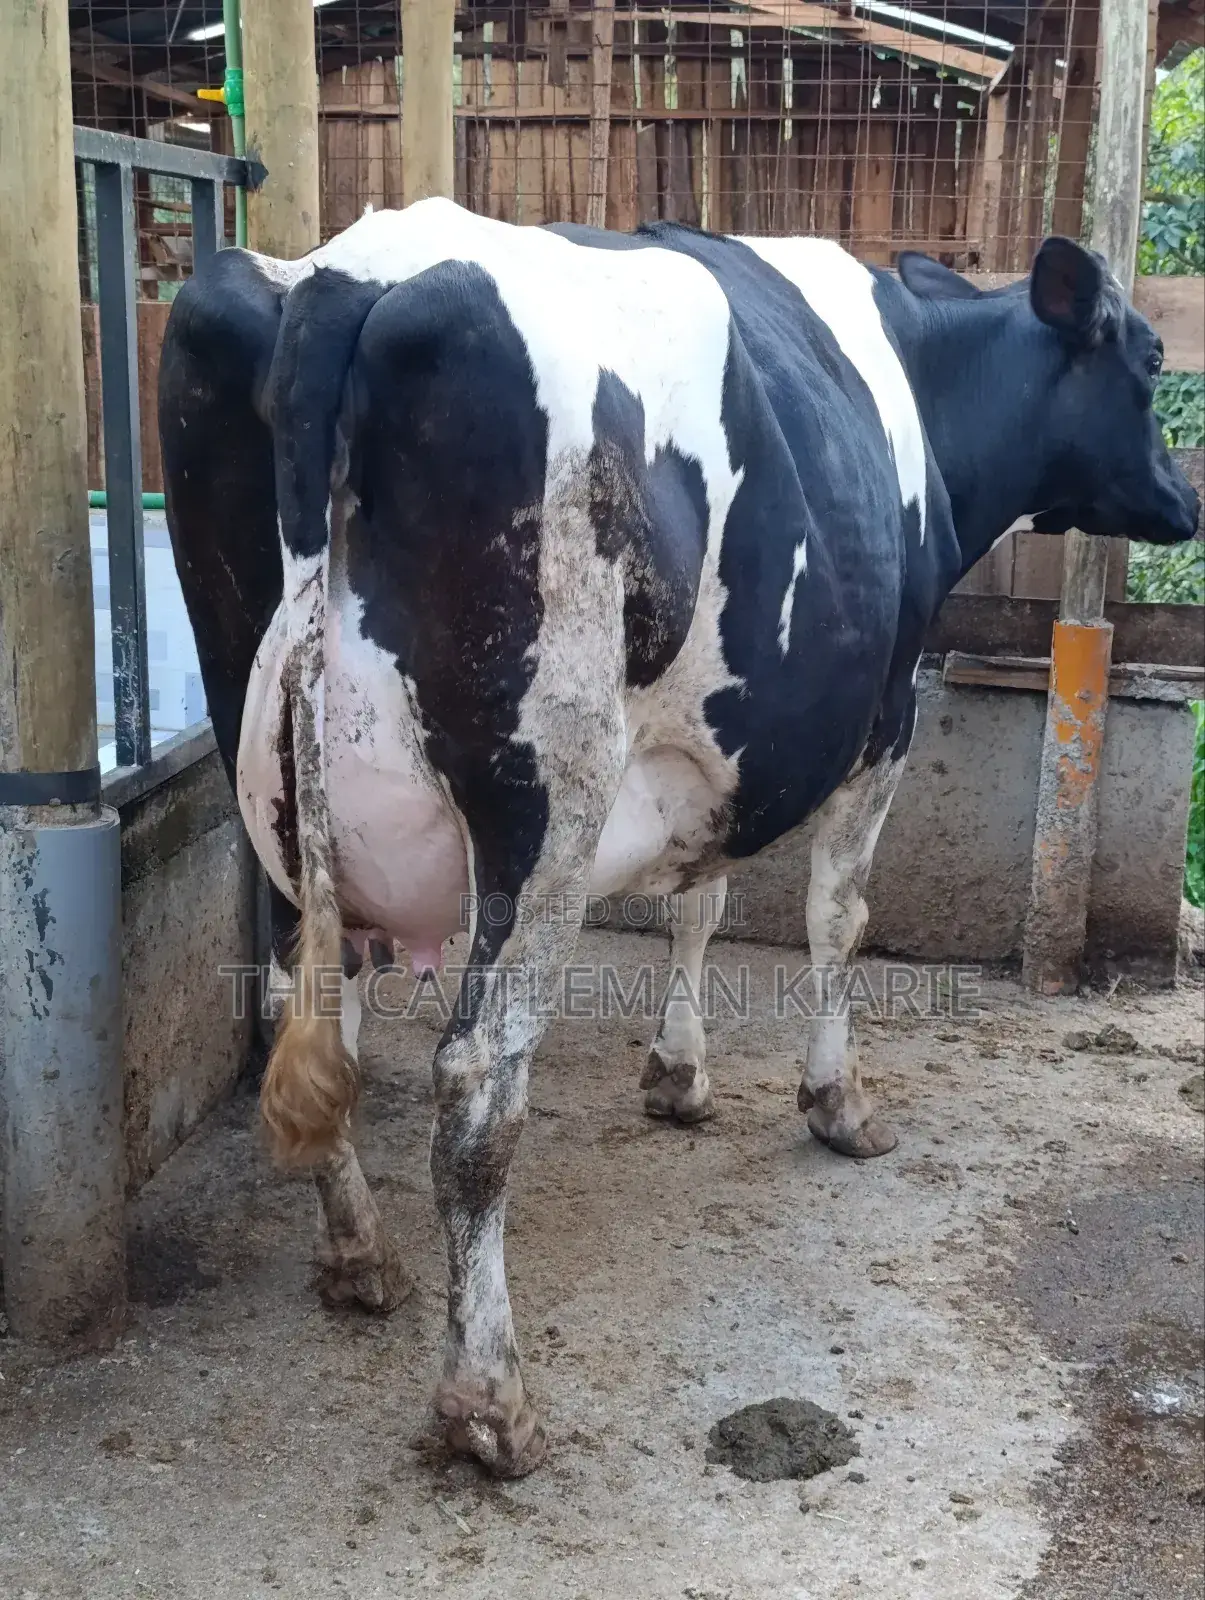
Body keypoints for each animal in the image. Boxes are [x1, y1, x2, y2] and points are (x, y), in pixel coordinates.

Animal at [159, 199, 1198, 1477]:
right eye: (1146, 362)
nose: (1184, 500)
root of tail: (349, 278)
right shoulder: (886, 708)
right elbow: (835, 916)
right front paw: (836, 1104)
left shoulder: (705, 748)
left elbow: (694, 897)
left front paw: (678, 1073)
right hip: (546, 792)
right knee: (475, 1076)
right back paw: (488, 1400)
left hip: (264, 767)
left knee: (313, 1015)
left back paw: (358, 1256)